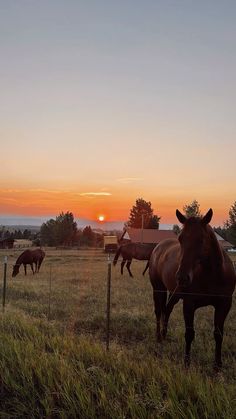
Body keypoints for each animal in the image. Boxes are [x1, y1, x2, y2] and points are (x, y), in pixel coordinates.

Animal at [148, 210, 235, 370]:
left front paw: (217, 365)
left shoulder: (224, 304)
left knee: (167, 309)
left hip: (174, 293)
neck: (213, 274)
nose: (182, 277)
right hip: (158, 289)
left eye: (201, 240)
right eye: (181, 239)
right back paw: (158, 337)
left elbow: (218, 334)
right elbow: (189, 333)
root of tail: (158, 247)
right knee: (158, 311)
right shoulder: (189, 304)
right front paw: (187, 363)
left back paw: (164, 334)